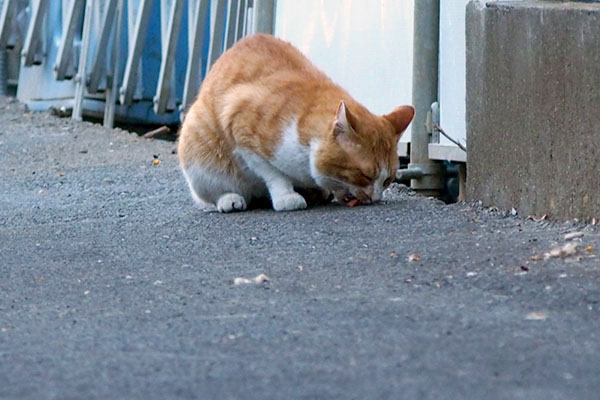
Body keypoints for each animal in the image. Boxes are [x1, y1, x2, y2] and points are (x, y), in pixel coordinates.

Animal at [177, 34, 412, 212]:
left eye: (388, 180)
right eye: (365, 175)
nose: (375, 198)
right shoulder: (242, 133)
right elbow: (274, 173)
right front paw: (286, 196)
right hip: (199, 160)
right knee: (213, 193)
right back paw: (229, 199)